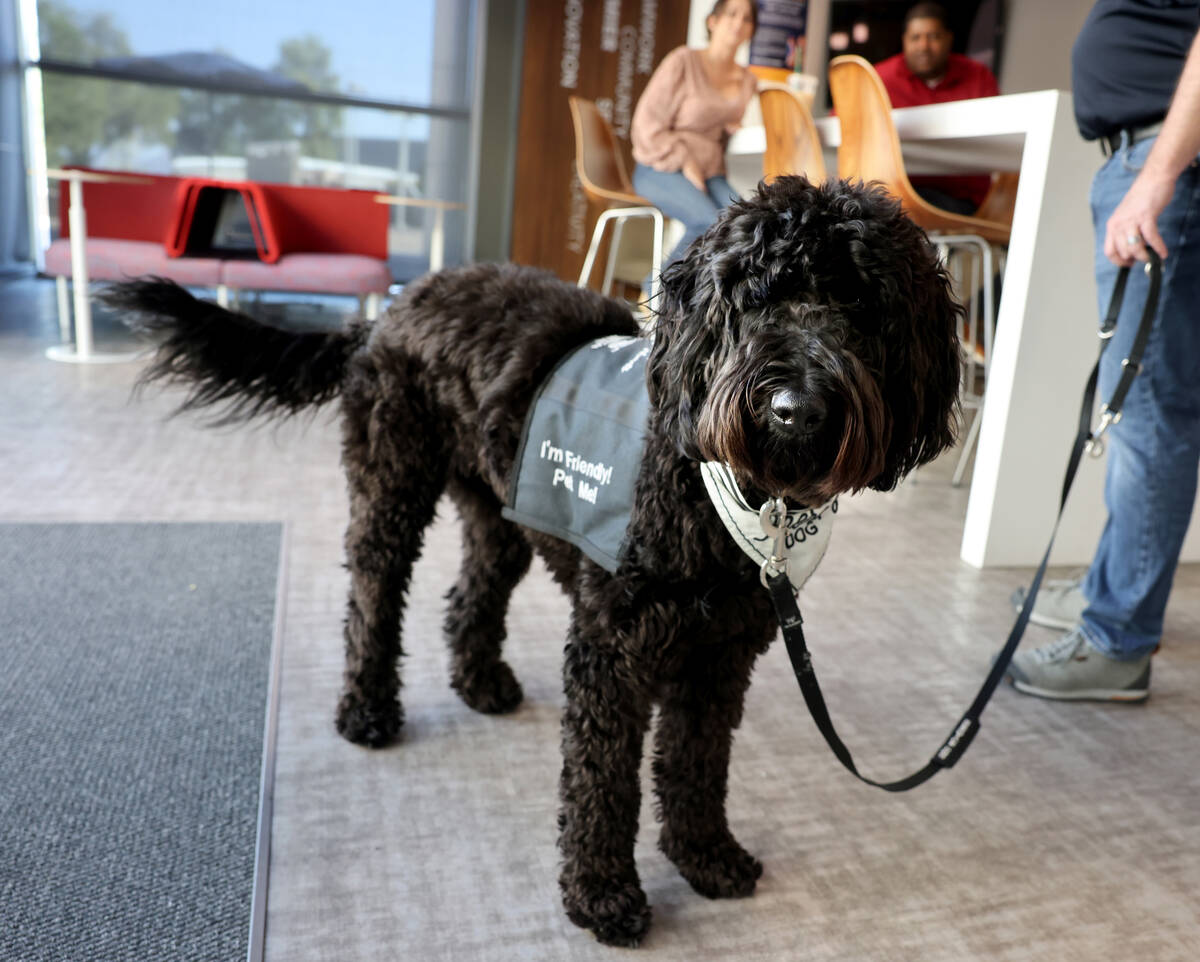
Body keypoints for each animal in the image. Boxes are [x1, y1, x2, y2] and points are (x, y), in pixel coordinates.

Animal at [105, 179, 964, 945]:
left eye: (863, 309)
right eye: (757, 299)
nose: (795, 408)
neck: (728, 497)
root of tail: (397, 304)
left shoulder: (720, 657)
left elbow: (697, 764)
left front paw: (706, 857)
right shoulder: (612, 651)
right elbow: (602, 781)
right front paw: (603, 895)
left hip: (500, 510)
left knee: (471, 592)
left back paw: (481, 683)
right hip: (393, 484)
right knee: (373, 591)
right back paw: (367, 710)